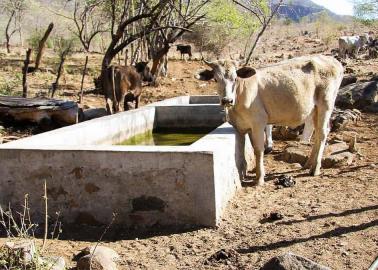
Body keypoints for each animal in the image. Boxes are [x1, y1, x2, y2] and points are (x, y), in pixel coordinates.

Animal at [202, 54, 344, 186]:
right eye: (215, 79)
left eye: (235, 78)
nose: (227, 100)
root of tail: (333, 60)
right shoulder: (243, 127)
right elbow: (245, 149)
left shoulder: (258, 123)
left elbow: (258, 149)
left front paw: (259, 178)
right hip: (315, 110)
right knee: (318, 132)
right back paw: (308, 164)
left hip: (326, 104)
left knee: (322, 133)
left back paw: (315, 169)